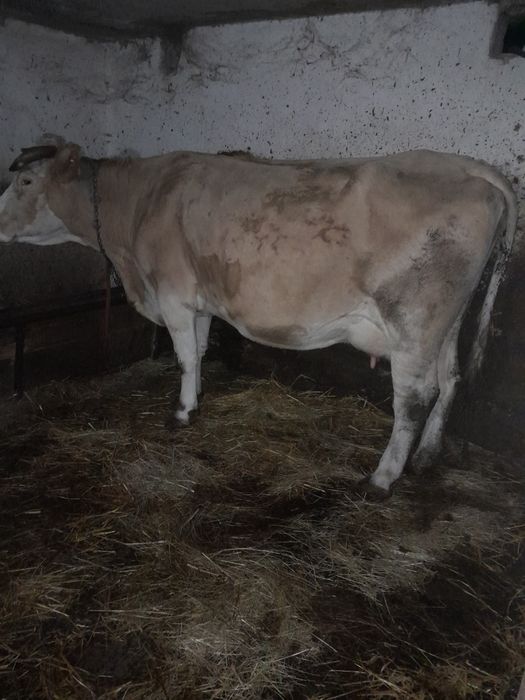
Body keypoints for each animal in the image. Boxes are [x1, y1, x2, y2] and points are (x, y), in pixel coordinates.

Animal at [0, 138, 517, 495]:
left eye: (25, 182)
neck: (139, 205)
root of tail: (471, 167)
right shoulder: (200, 297)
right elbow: (200, 350)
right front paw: (197, 399)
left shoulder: (173, 294)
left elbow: (184, 355)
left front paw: (181, 412)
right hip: (446, 321)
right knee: (450, 379)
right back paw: (427, 454)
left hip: (413, 320)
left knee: (413, 399)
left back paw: (383, 478)